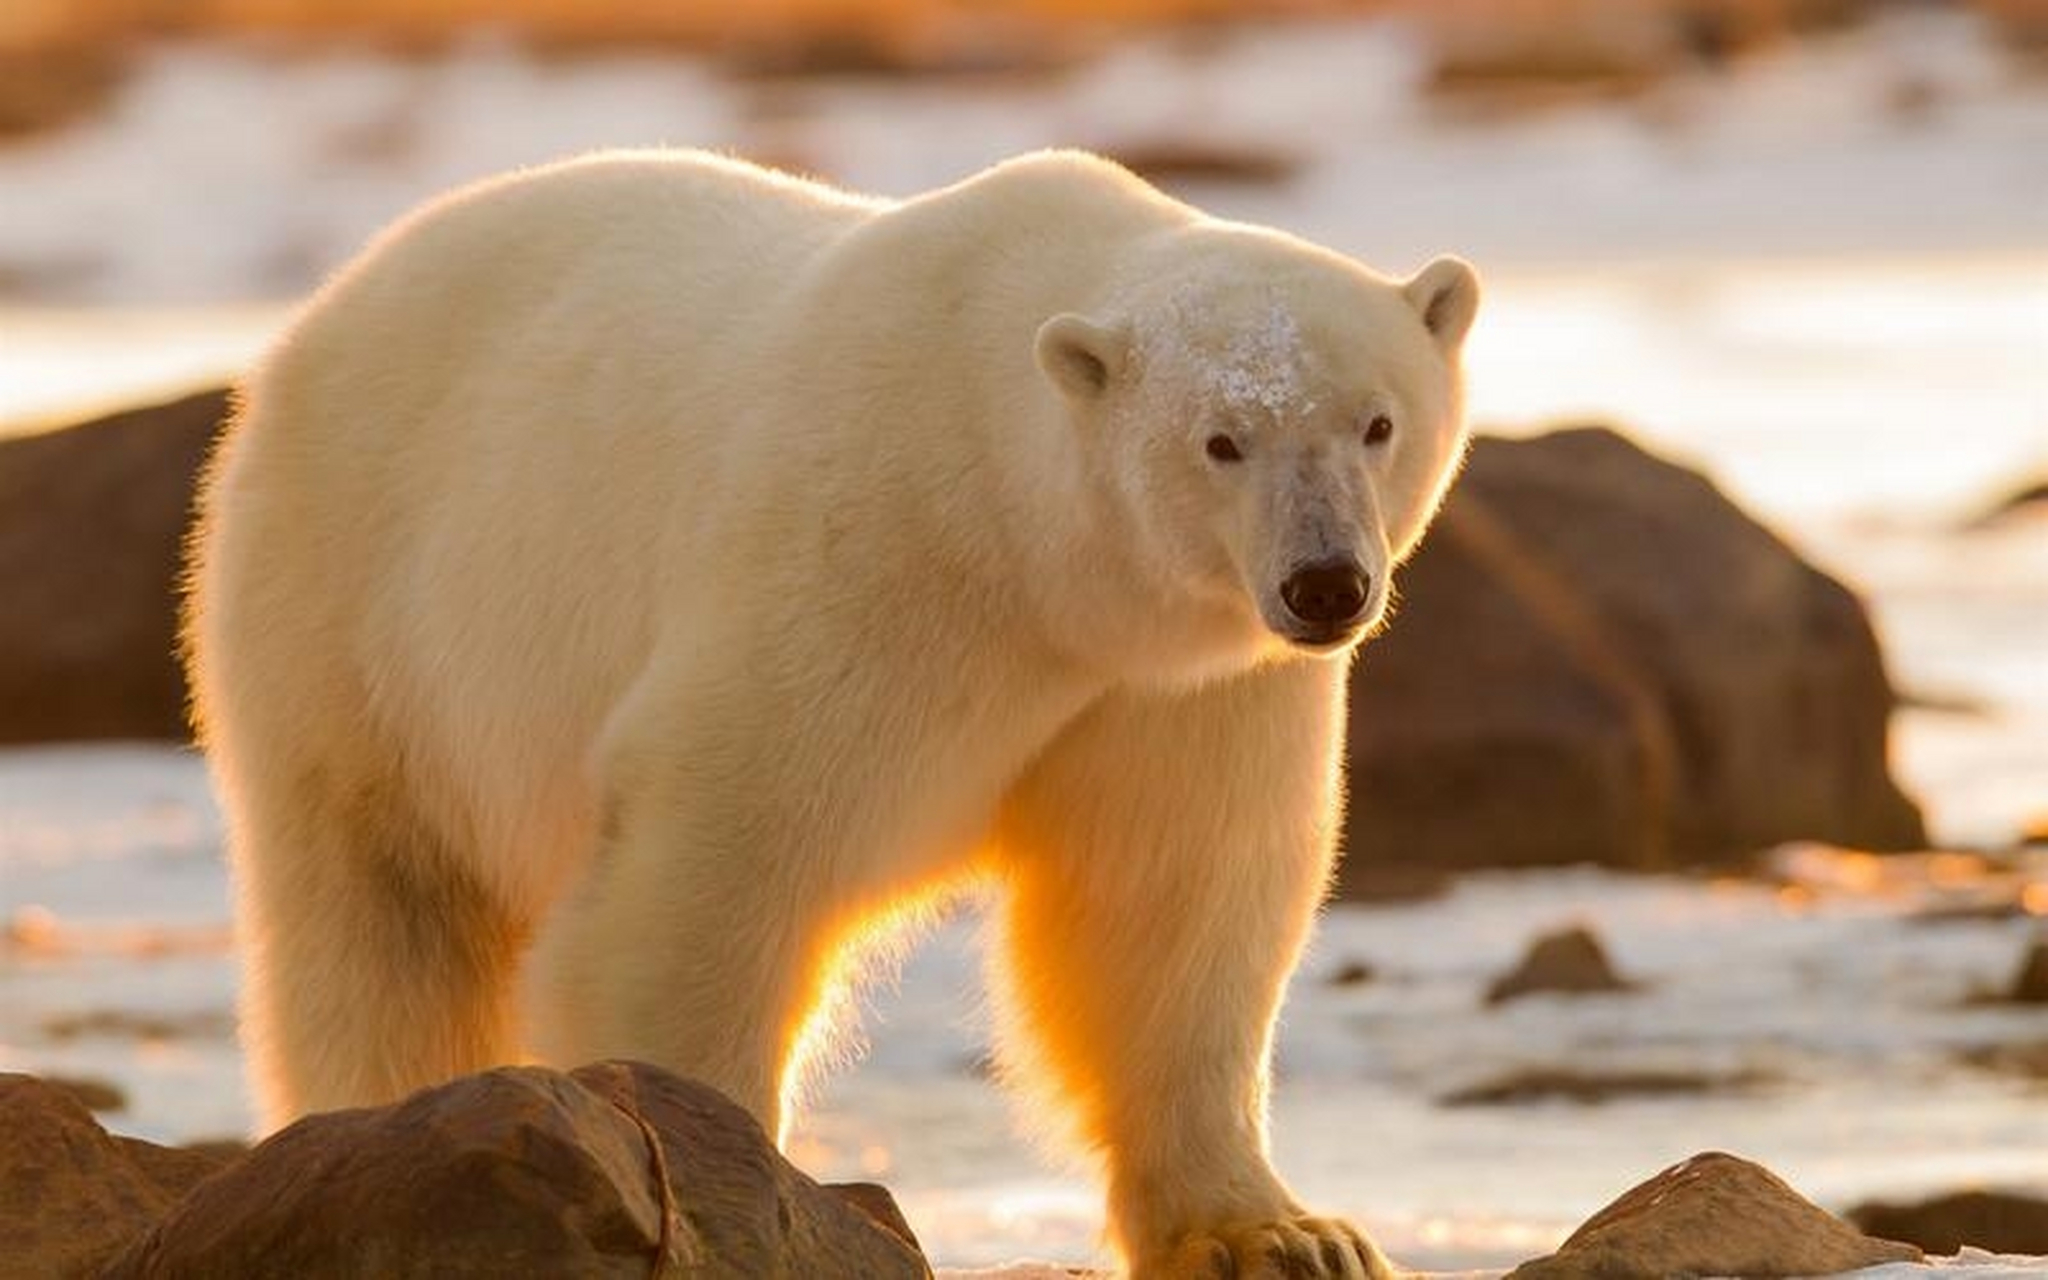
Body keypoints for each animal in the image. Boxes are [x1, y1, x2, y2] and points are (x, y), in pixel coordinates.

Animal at [184, 147, 1474, 1269]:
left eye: (1375, 422)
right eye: (1221, 440)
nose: (1324, 584)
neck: (1023, 554)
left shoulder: (1179, 687)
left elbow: (1168, 902)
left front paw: (1288, 1235)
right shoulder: (859, 562)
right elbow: (714, 859)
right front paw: (719, 1186)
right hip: (355, 614)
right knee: (384, 916)